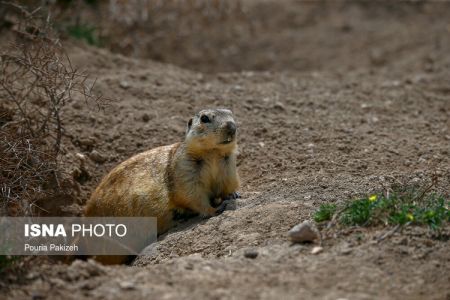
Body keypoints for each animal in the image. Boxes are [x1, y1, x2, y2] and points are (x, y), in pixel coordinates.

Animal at [84, 108, 239, 237]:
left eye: (231, 113)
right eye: (204, 118)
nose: (232, 126)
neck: (213, 153)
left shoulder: (228, 166)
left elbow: (227, 183)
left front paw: (233, 194)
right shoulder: (185, 168)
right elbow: (192, 194)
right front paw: (215, 209)